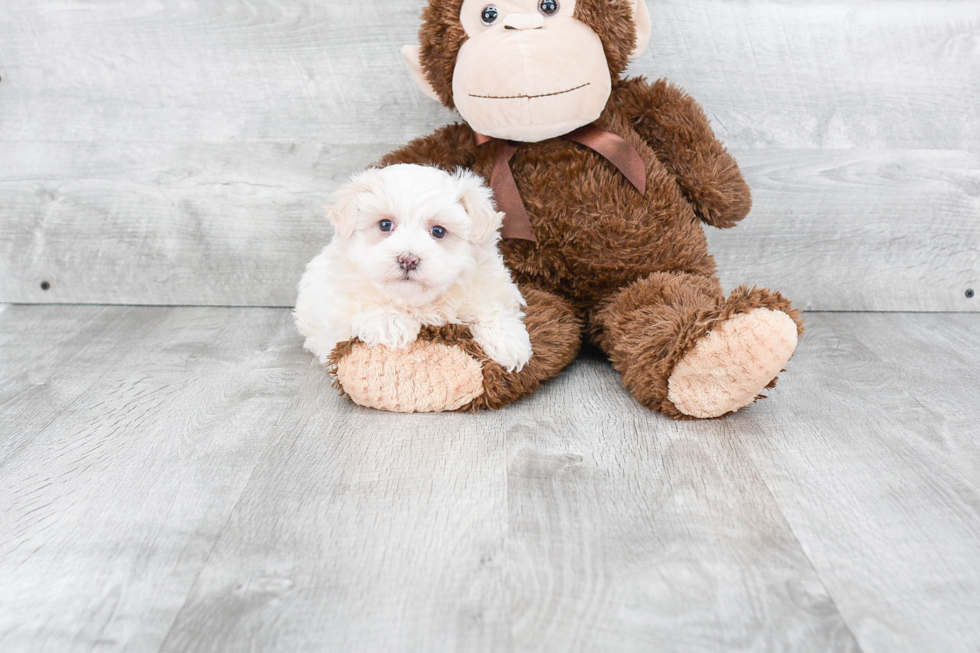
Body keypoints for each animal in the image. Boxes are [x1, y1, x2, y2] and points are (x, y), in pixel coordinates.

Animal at [294, 163, 532, 372]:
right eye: (385, 225)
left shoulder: (486, 283)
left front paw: (509, 342)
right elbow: (366, 300)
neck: (418, 303)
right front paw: (390, 323)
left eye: (438, 231)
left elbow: (492, 306)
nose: (408, 259)